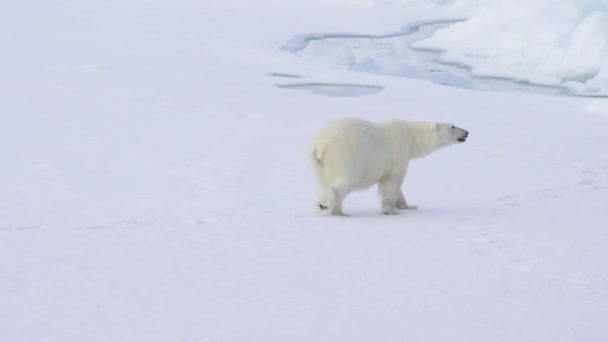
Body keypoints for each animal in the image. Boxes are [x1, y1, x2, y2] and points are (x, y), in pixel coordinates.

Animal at [312, 116, 468, 215]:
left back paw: (337, 211)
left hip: (320, 165)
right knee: (344, 181)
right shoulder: (399, 153)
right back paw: (327, 206)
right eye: (453, 126)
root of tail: (321, 144)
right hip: (346, 157)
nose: (467, 132)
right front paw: (391, 210)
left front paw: (409, 206)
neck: (411, 135)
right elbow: (393, 181)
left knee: (326, 182)